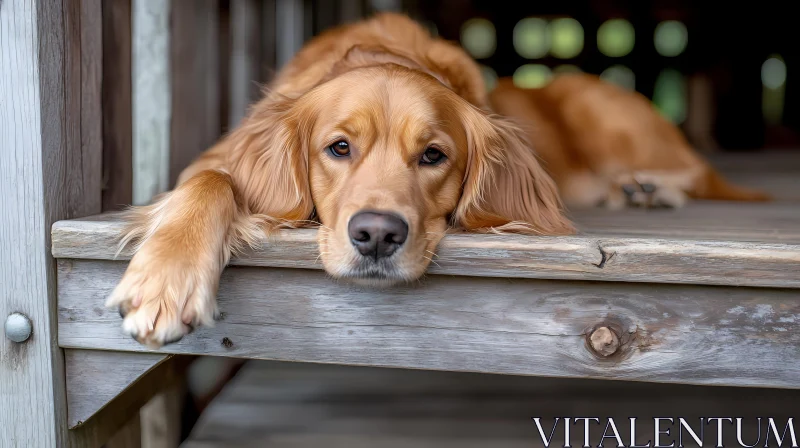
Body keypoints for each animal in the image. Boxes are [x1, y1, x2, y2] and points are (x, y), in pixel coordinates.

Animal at [106, 11, 768, 346]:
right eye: (338, 148)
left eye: (432, 156)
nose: (376, 236)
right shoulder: (213, 159)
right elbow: (209, 183)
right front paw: (164, 281)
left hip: (598, 105)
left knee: (699, 171)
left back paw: (649, 187)